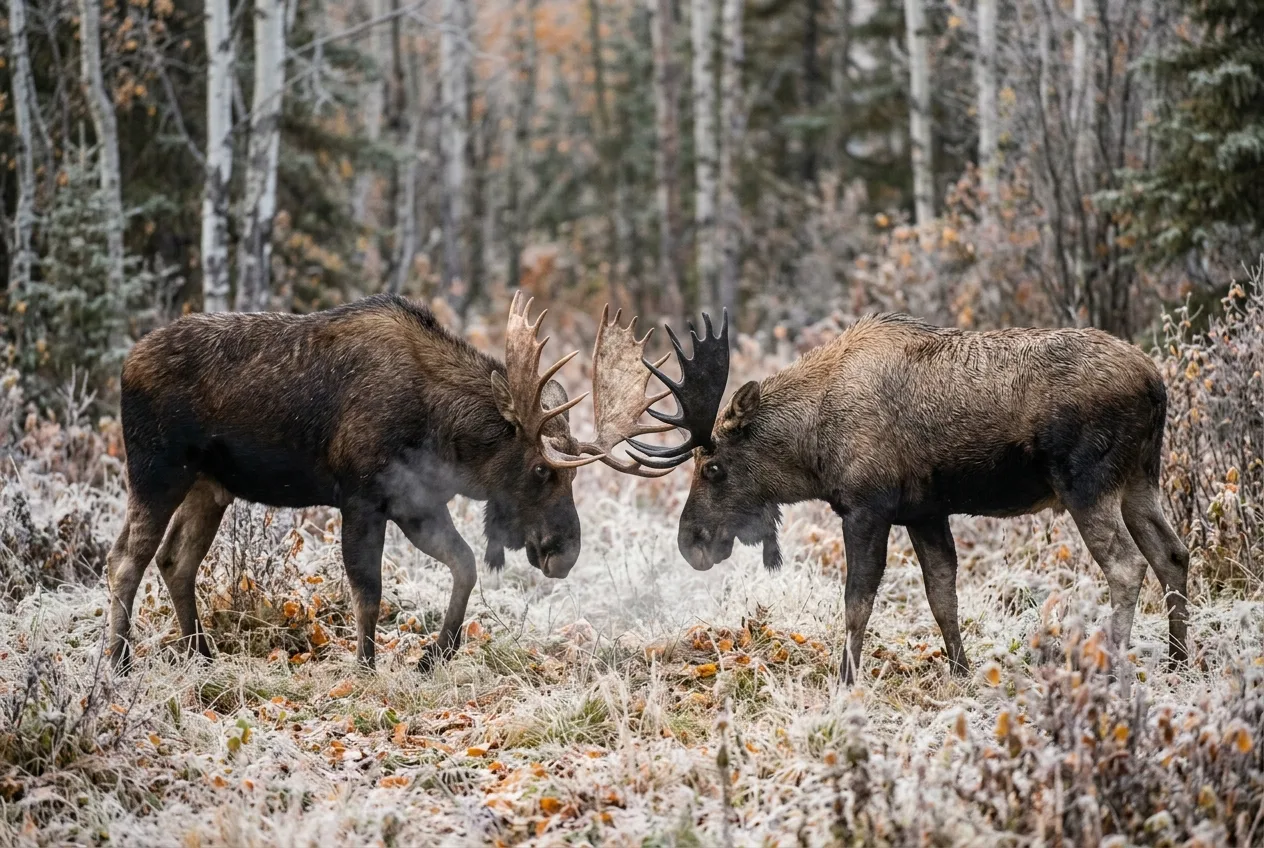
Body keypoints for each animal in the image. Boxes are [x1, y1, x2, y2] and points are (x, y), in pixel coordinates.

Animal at [107, 292, 670, 672]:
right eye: (541, 469)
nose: (565, 551)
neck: (441, 435)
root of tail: (125, 364)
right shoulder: (361, 498)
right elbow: (369, 591)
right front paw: (365, 667)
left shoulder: (416, 504)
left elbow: (464, 564)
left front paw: (435, 653)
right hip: (155, 470)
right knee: (125, 560)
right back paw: (119, 662)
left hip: (209, 486)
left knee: (175, 560)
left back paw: (199, 654)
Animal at [629, 312, 1190, 684]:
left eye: (713, 467)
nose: (691, 541)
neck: (811, 448)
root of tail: (1156, 384)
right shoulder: (925, 512)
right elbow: (942, 597)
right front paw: (961, 672)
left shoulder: (866, 507)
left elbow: (857, 601)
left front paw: (845, 681)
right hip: (1140, 480)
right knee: (1173, 554)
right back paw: (1178, 658)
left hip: (1086, 483)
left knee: (1127, 566)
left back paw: (1115, 667)